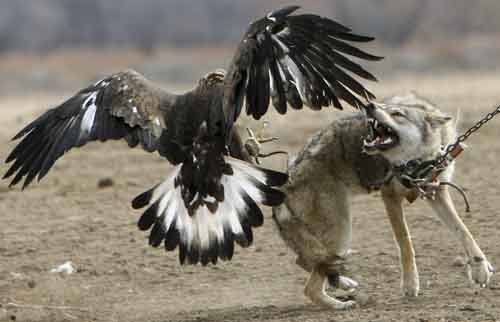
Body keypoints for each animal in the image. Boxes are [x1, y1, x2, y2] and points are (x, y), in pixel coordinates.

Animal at [274, 92, 496, 308]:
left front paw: (480, 267)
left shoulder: (437, 193)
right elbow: (405, 242)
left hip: (336, 237)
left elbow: (464, 231)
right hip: (341, 231)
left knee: (309, 263)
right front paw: (410, 284)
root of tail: (285, 180)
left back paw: (343, 284)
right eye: (383, 107)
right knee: (310, 284)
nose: (369, 106)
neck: (414, 162)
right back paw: (340, 304)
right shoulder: (390, 197)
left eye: (397, 113)